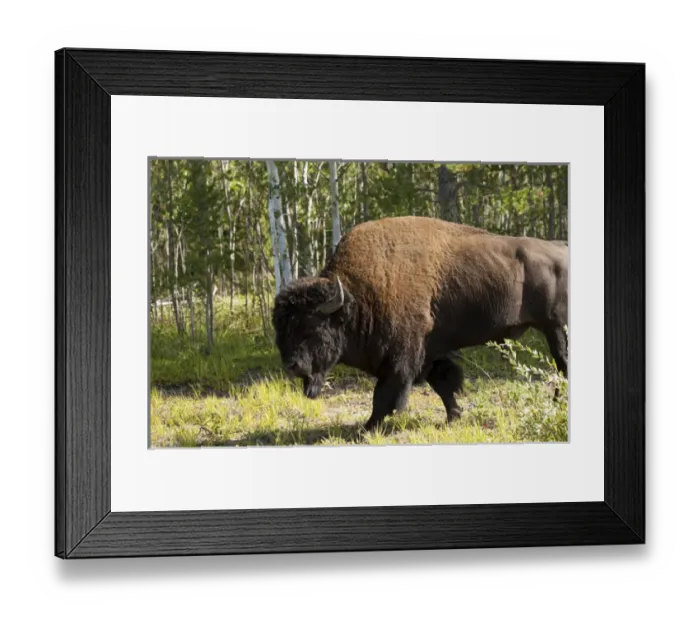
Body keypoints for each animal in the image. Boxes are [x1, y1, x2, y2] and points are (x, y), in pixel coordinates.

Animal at [272, 216, 568, 431]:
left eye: (310, 327)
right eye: (280, 329)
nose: (291, 365)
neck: (356, 297)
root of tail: (562, 251)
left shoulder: (401, 356)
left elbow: (385, 394)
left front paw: (368, 428)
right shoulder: (428, 351)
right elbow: (443, 382)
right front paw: (453, 417)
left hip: (555, 327)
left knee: (562, 363)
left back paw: (558, 402)